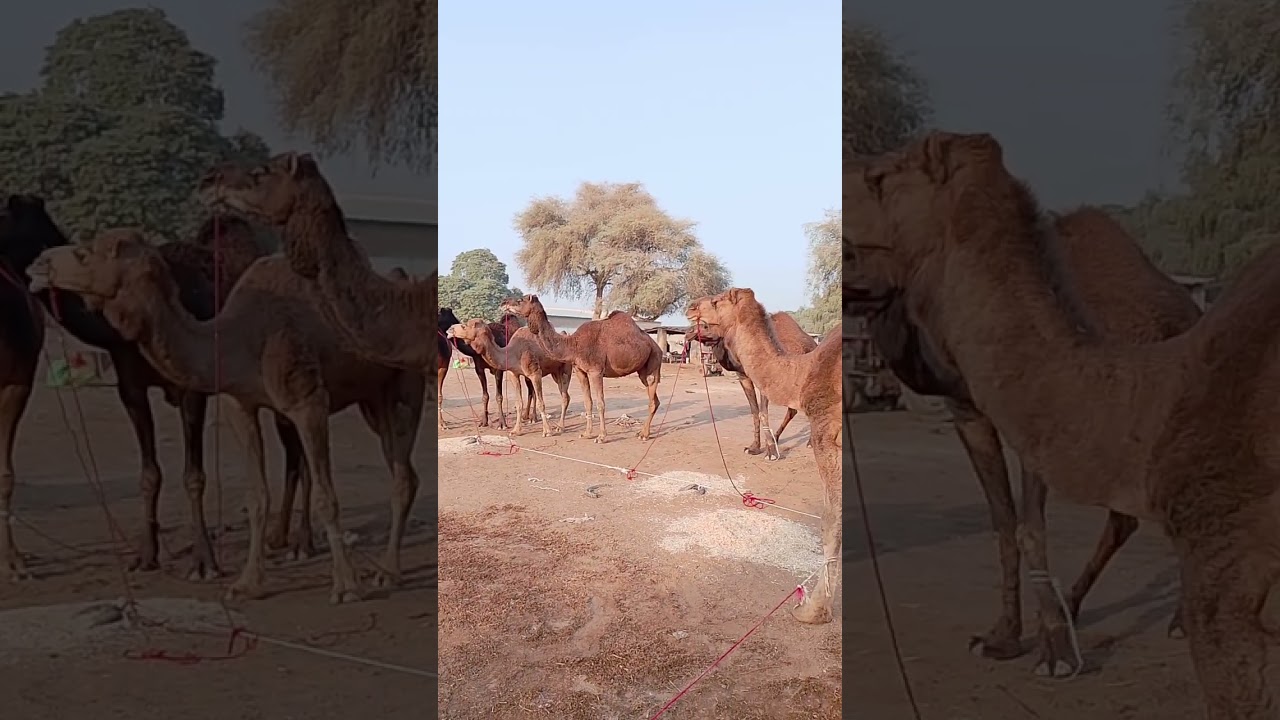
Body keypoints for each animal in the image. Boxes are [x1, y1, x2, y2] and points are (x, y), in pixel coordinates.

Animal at [0, 195, 319, 579]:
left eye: (4, 213)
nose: (38, 266)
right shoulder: (131, 388)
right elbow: (149, 474)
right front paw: (145, 556)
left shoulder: (191, 388)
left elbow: (194, 476)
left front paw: (204, 563)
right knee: (294, 452)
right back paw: (278, 538)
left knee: (301, 451)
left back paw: (302, 543)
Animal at [29, 229, 425, 603]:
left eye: (84, 254)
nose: (37, 265)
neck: (240, 337)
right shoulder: (241, 406)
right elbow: (257, 496)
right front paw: (247, 584)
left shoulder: (307, 403)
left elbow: (328, 498)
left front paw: (345, 587)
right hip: (374, 398)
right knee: (400, 467)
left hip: (407, 385)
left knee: (403, 475)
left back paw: (388, 572)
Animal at [499, 295, 662, 444]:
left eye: (520, 300)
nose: (503, 303)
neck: (573, 344)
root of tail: (657, 347)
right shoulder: (580, 371)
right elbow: (588, 402)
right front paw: (587, 434)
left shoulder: (596, 371)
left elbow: (600, 403)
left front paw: (601, 437)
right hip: (642, 371)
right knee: (655, 398)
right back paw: (641, 432)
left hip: (654, 361)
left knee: (652, 396)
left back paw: (644, 435)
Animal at [700, 311, 817, 459]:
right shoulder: (743, 376)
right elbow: (755, 410)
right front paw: (754, 447)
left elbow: (762, 412)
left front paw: (770, 453)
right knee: (793, 410)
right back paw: (776, 438)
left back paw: (810, 443)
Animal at [858, 207, 1203, 672]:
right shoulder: (967, 411)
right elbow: (1004, 521)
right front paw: (1003, 637)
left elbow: (1030, 525)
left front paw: (1054, 652)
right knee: (1127, 518)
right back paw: (1073, 605)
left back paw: (1181, 620)